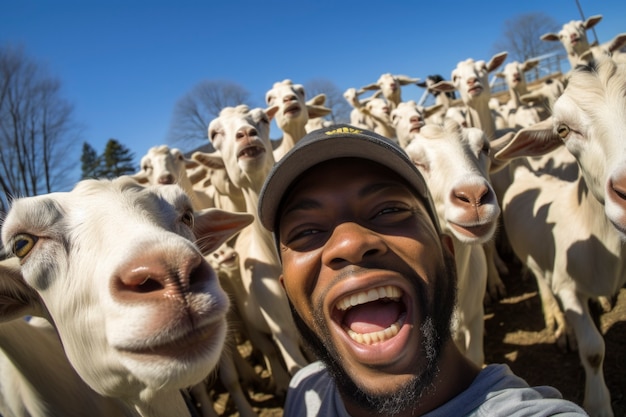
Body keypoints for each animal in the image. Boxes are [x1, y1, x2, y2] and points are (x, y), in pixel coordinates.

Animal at [492, 57, 624, 416]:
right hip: (534, 261)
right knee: (544, 285)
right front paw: (598, 403)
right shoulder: (567, 286)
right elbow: (593, 349)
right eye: (563, 130)